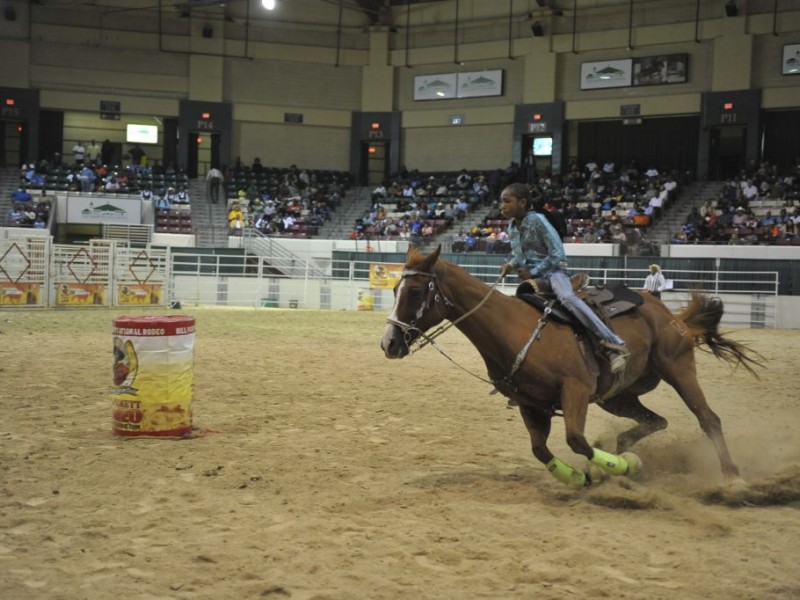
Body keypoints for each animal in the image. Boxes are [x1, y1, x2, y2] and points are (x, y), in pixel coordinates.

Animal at [382, 246, 764, 490]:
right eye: (396, 287)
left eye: (414, 291)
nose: (388, 343)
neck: (515, 329)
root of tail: (669, 314)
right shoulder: (531, 404)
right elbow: (542, 451)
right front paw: (584, 476)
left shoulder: (575, 390)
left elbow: (576, 440)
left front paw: (620, 467)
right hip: (618, 396)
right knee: (655, 421)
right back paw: (622, 453)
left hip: (679, 369)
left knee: (708, 419)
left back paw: (733, 478)